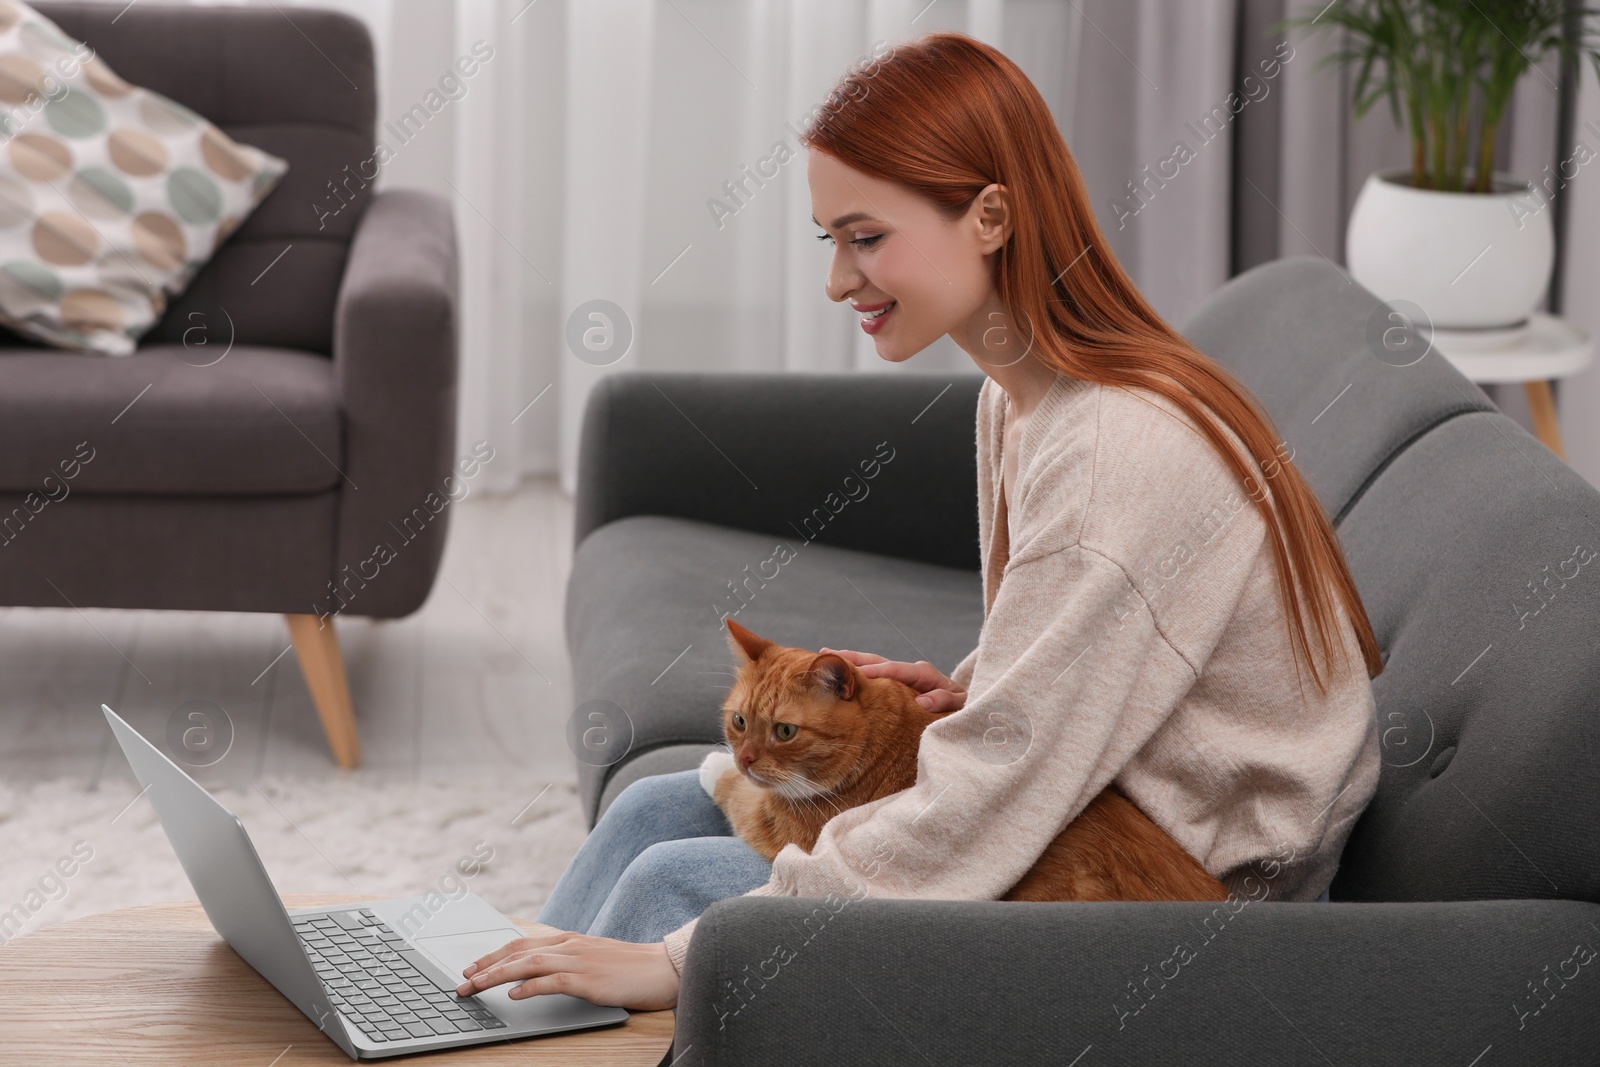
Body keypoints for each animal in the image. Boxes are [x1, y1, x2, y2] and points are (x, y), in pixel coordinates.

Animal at [694, 617, 1228, 902]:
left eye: (784, 731)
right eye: (739, 721)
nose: (744, 758)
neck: (882, 738)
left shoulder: (784, 829)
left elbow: (736, 797)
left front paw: (713, 766)